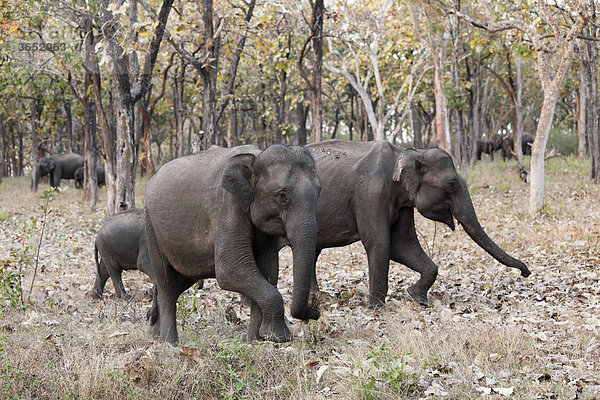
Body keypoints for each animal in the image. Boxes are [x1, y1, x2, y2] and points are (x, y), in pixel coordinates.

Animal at [145, 144, 322, 344]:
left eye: (319, 192)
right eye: (282, 196)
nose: (314, 312)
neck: (256, 157)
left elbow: (268, 271)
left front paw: (255, 341)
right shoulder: (227, 207)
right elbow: (230, 270)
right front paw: (279, 336)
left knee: (178, 282)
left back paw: (154, 335)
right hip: (151, 227)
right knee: (166, 283)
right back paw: (170, 343)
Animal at [308, 139, 532, 308]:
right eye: (452, 184)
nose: (526, 272)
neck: (410, 151)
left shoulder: (403, 203)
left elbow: (402, 245)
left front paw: (418, 298)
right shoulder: (370, 193)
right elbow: (380, 244)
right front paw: (377, 310)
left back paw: (316, 298)